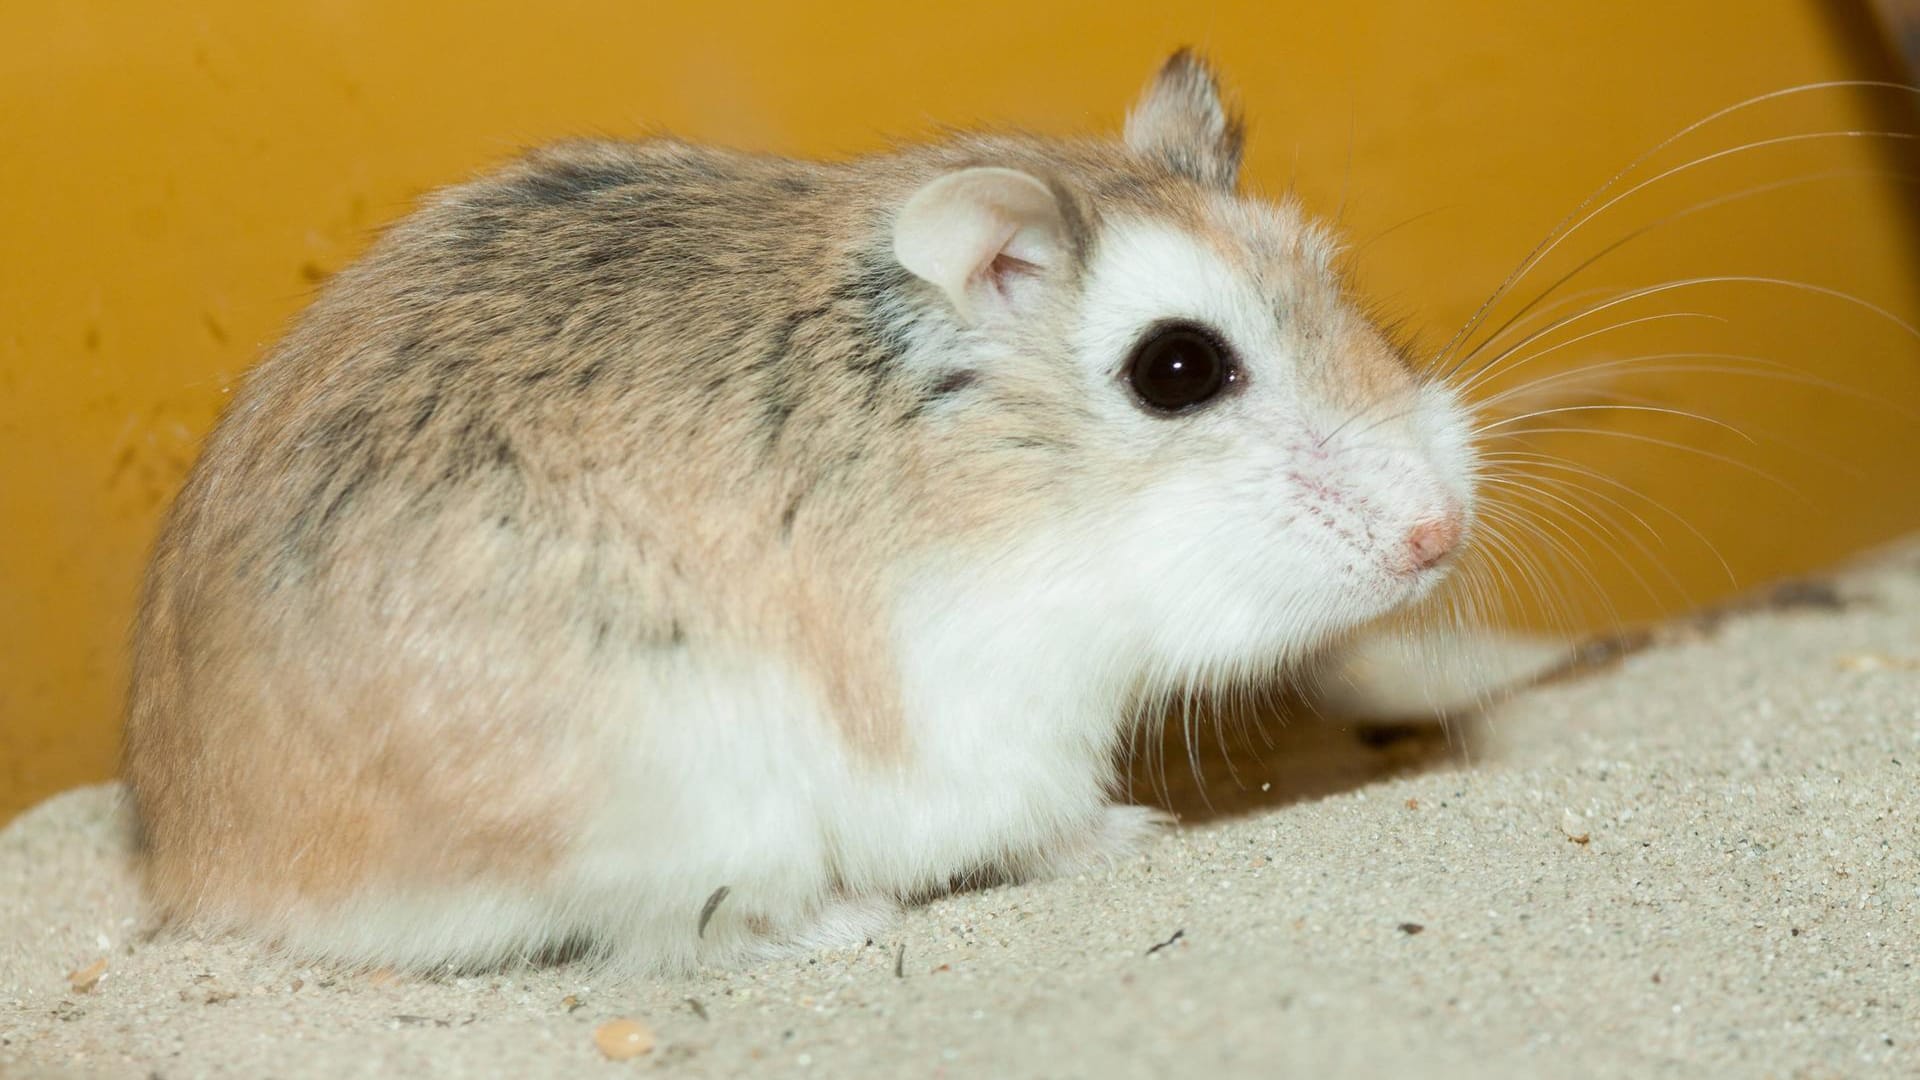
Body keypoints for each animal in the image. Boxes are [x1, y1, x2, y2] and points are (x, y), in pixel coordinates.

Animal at [123, 50, 1466, 972]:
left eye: (1335, 277)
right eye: (1177, 369)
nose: (1439, 537)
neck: (1021, 491)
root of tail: (194, 867)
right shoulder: (996, 720)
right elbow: (1044, 823)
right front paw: (1139, 834)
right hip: (684, 790)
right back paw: (851, 919)